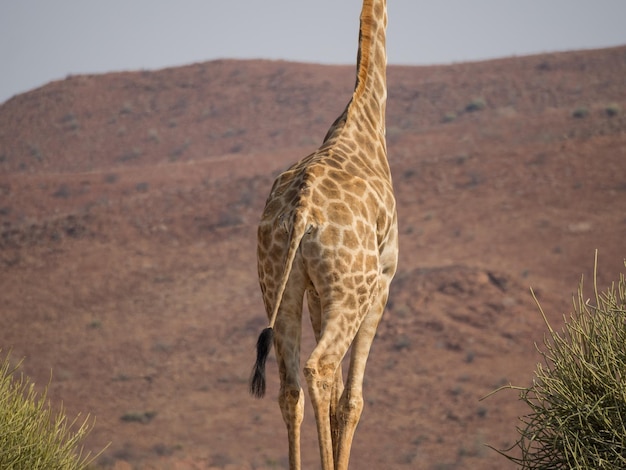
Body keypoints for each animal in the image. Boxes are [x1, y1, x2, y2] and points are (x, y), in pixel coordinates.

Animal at [249, 1, 394, 468]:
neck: (365, 121)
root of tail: (301, 213)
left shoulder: (315, 292)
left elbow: (333, 400)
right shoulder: (383, 280)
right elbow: (351, 400)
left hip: (280, 284)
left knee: (289, 386)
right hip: (351, 289)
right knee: (320, 368)